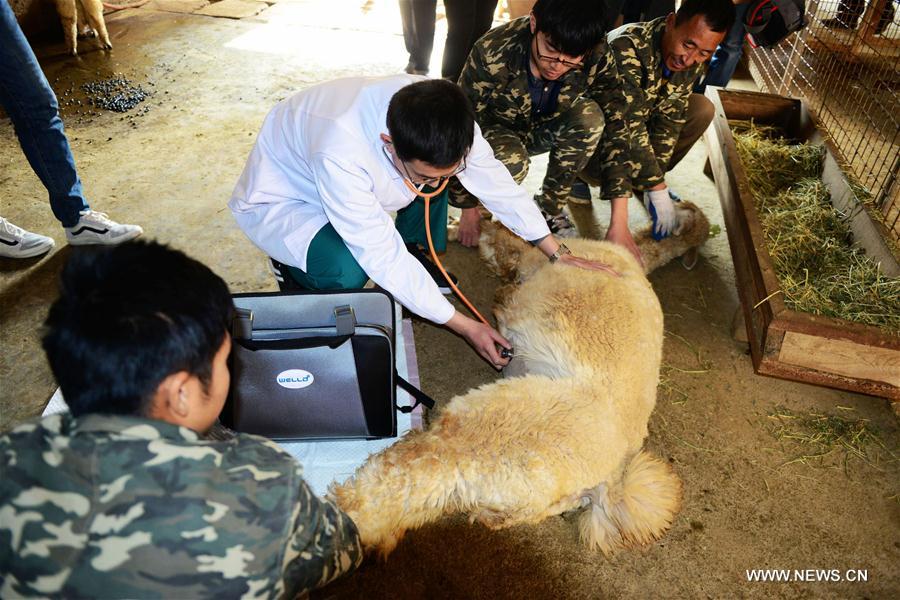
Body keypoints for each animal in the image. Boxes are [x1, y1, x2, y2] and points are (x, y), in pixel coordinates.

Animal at [330, 202, 709, 558]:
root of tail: (610, 481)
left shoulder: (527, 255)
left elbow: (499, 237)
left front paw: (460, 227)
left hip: (481, 432)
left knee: (397, 484)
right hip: (514, 492)